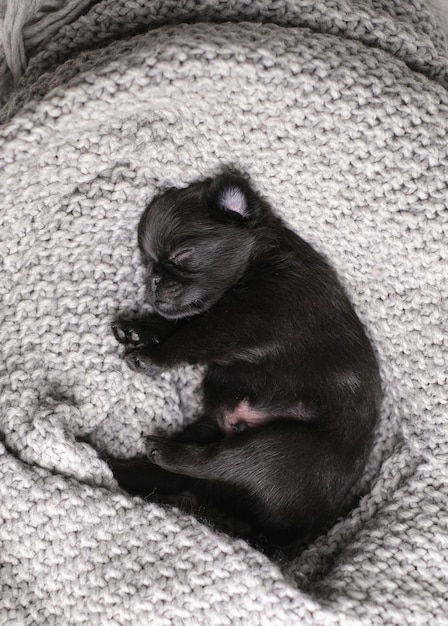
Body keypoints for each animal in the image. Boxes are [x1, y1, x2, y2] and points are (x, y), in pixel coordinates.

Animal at [110, 173, 380, 544]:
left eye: (182, 254)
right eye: (147, 262)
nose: (153, 279)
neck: (259, 261)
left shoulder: (246, 320)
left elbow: (195, 334)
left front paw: (150, 357)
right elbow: (183, 321)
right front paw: (138, 329)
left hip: (276, 450)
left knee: (214, 462)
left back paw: (162, 452)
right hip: (213, 429)